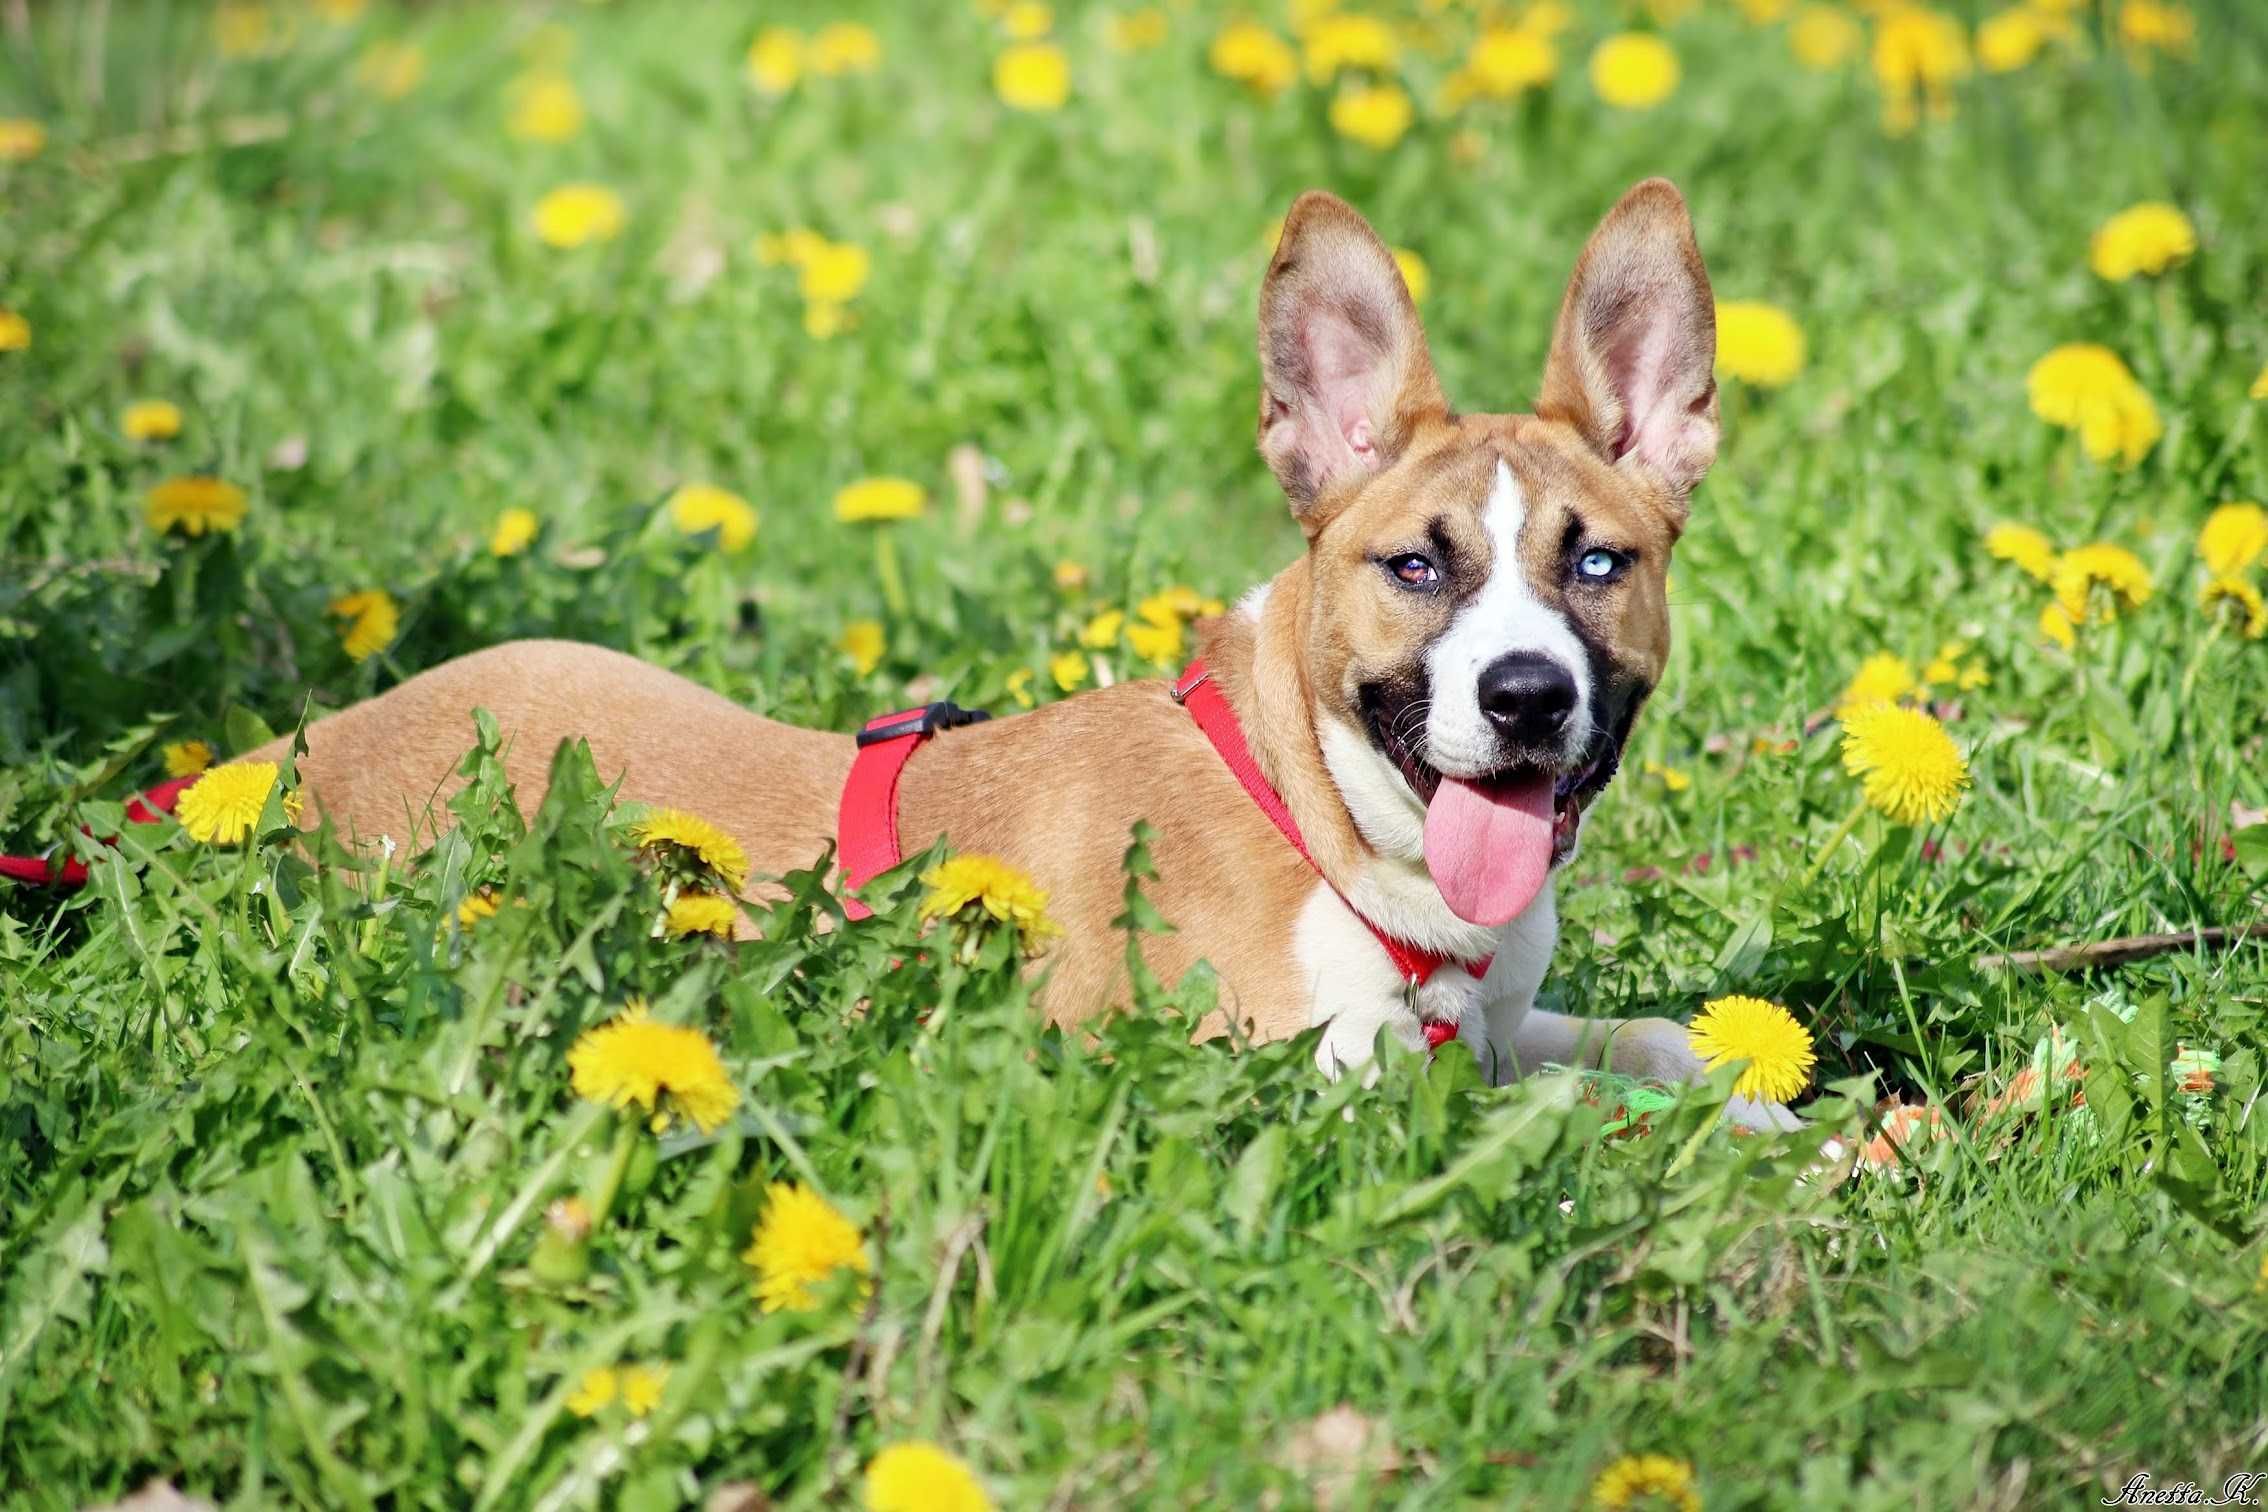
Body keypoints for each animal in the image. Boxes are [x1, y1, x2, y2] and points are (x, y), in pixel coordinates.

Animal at [239, 177, 1796, 1124]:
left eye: (1597, 562)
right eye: (1415, 566)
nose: (1526, 700)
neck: (1316, 810)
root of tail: (276, 764)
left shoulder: (1496, 1018)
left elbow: (1639, 1039)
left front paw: (1747, 1091)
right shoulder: (1308, 1083)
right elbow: (1561, 1109)